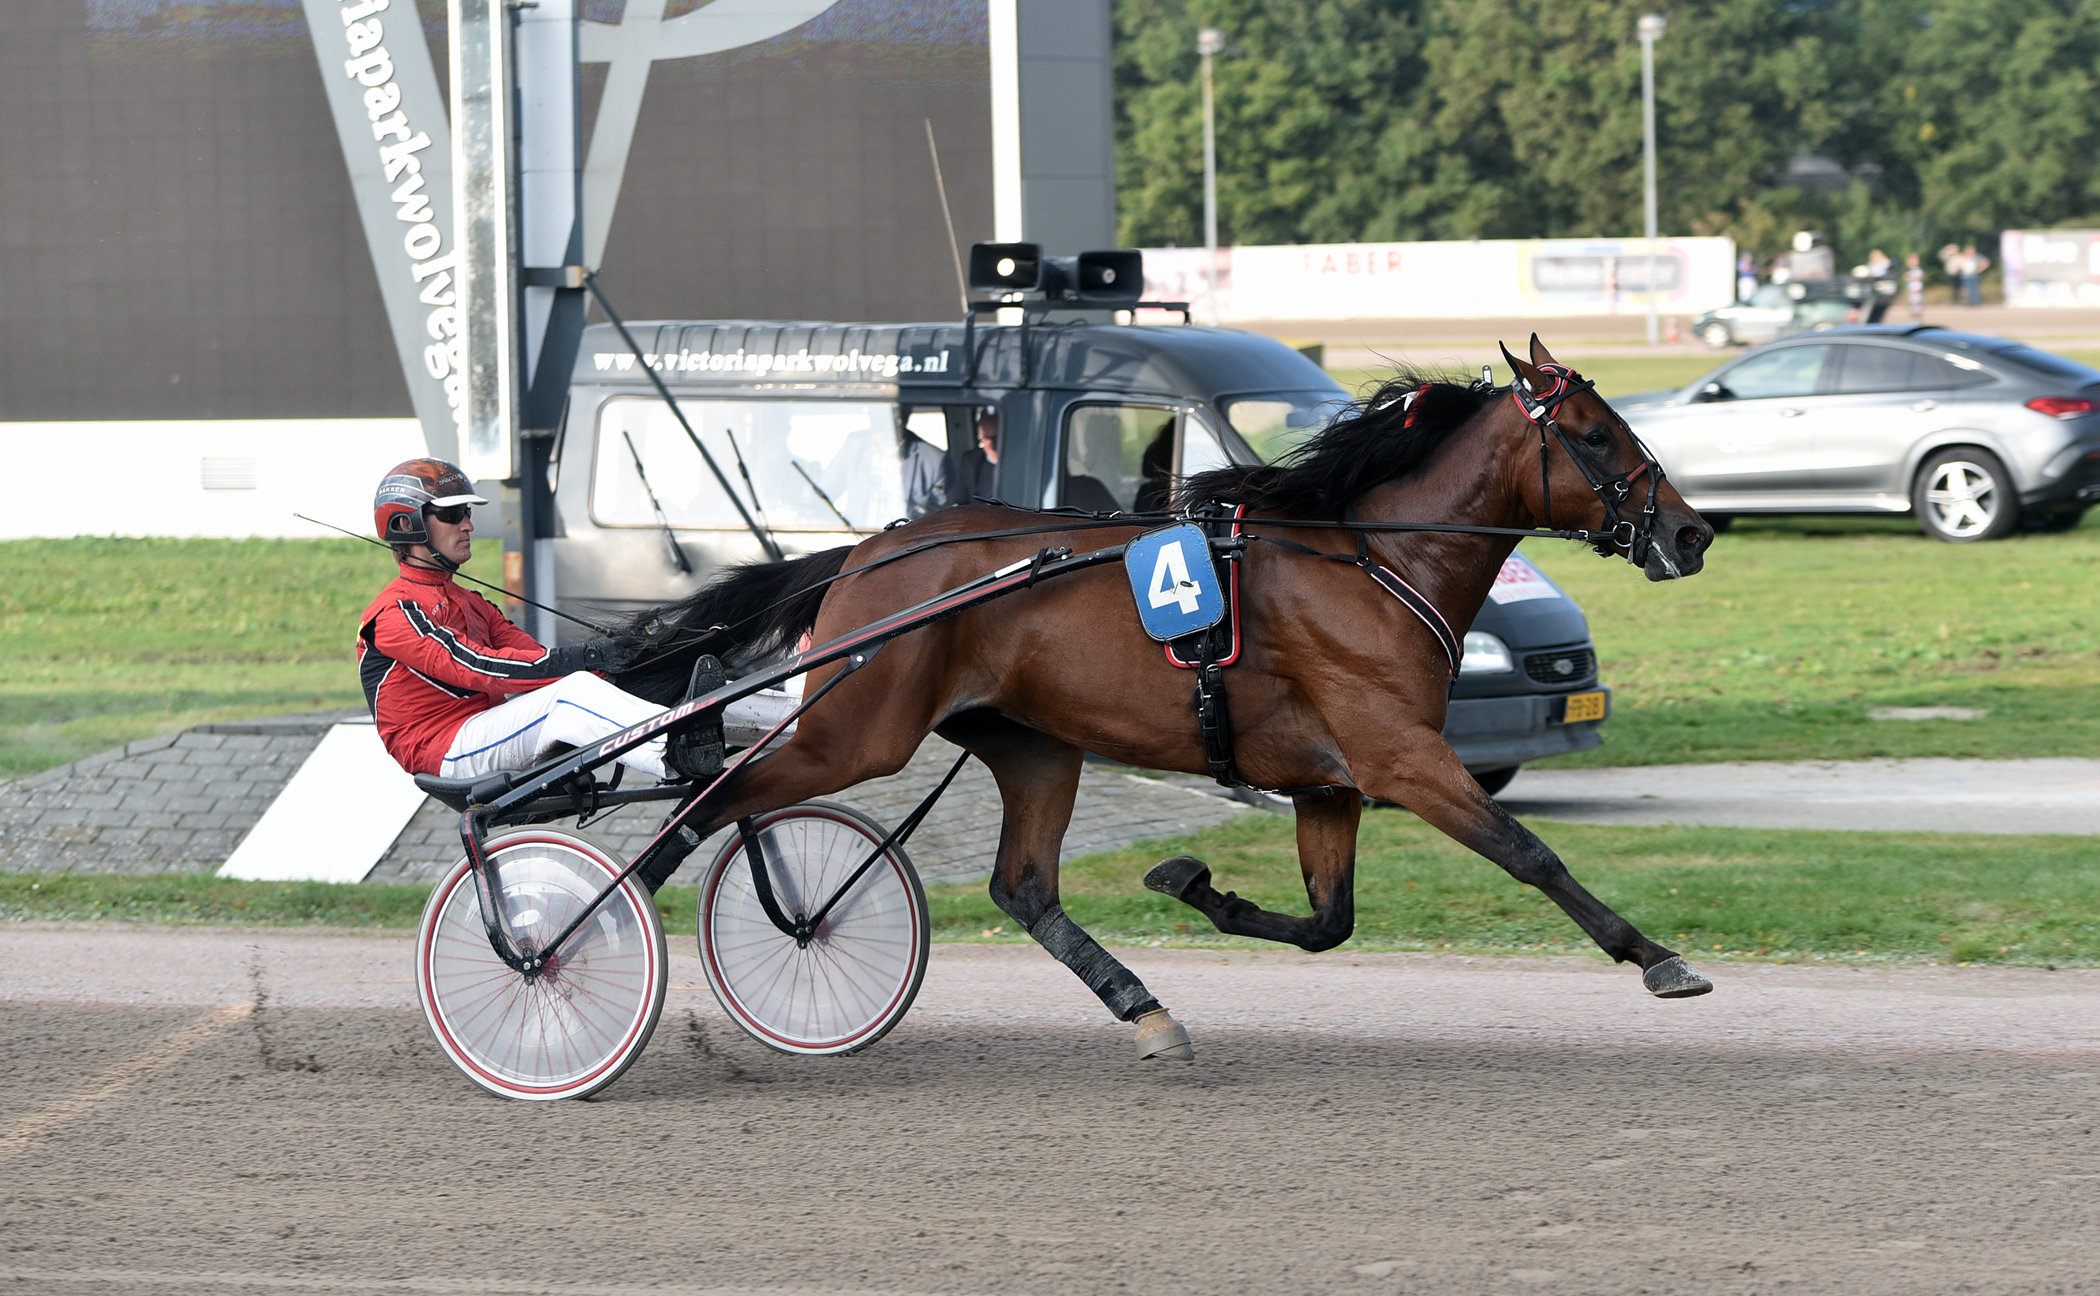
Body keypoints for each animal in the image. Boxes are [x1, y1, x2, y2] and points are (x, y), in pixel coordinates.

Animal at [613, 338, 1721, 1054]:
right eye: (1594, 431)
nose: (1692, 531)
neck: (1372, 562)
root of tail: (870, 552)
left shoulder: (1328, 783)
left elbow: (1328, 922)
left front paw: (1193, 883)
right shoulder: (1401, 758)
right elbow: (1531, 854)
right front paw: (1657, 957)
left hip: (1032, 741)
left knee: (1024, 887)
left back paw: (1144, 1008)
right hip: (857, 728)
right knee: (713, 802)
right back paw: (594, 919)